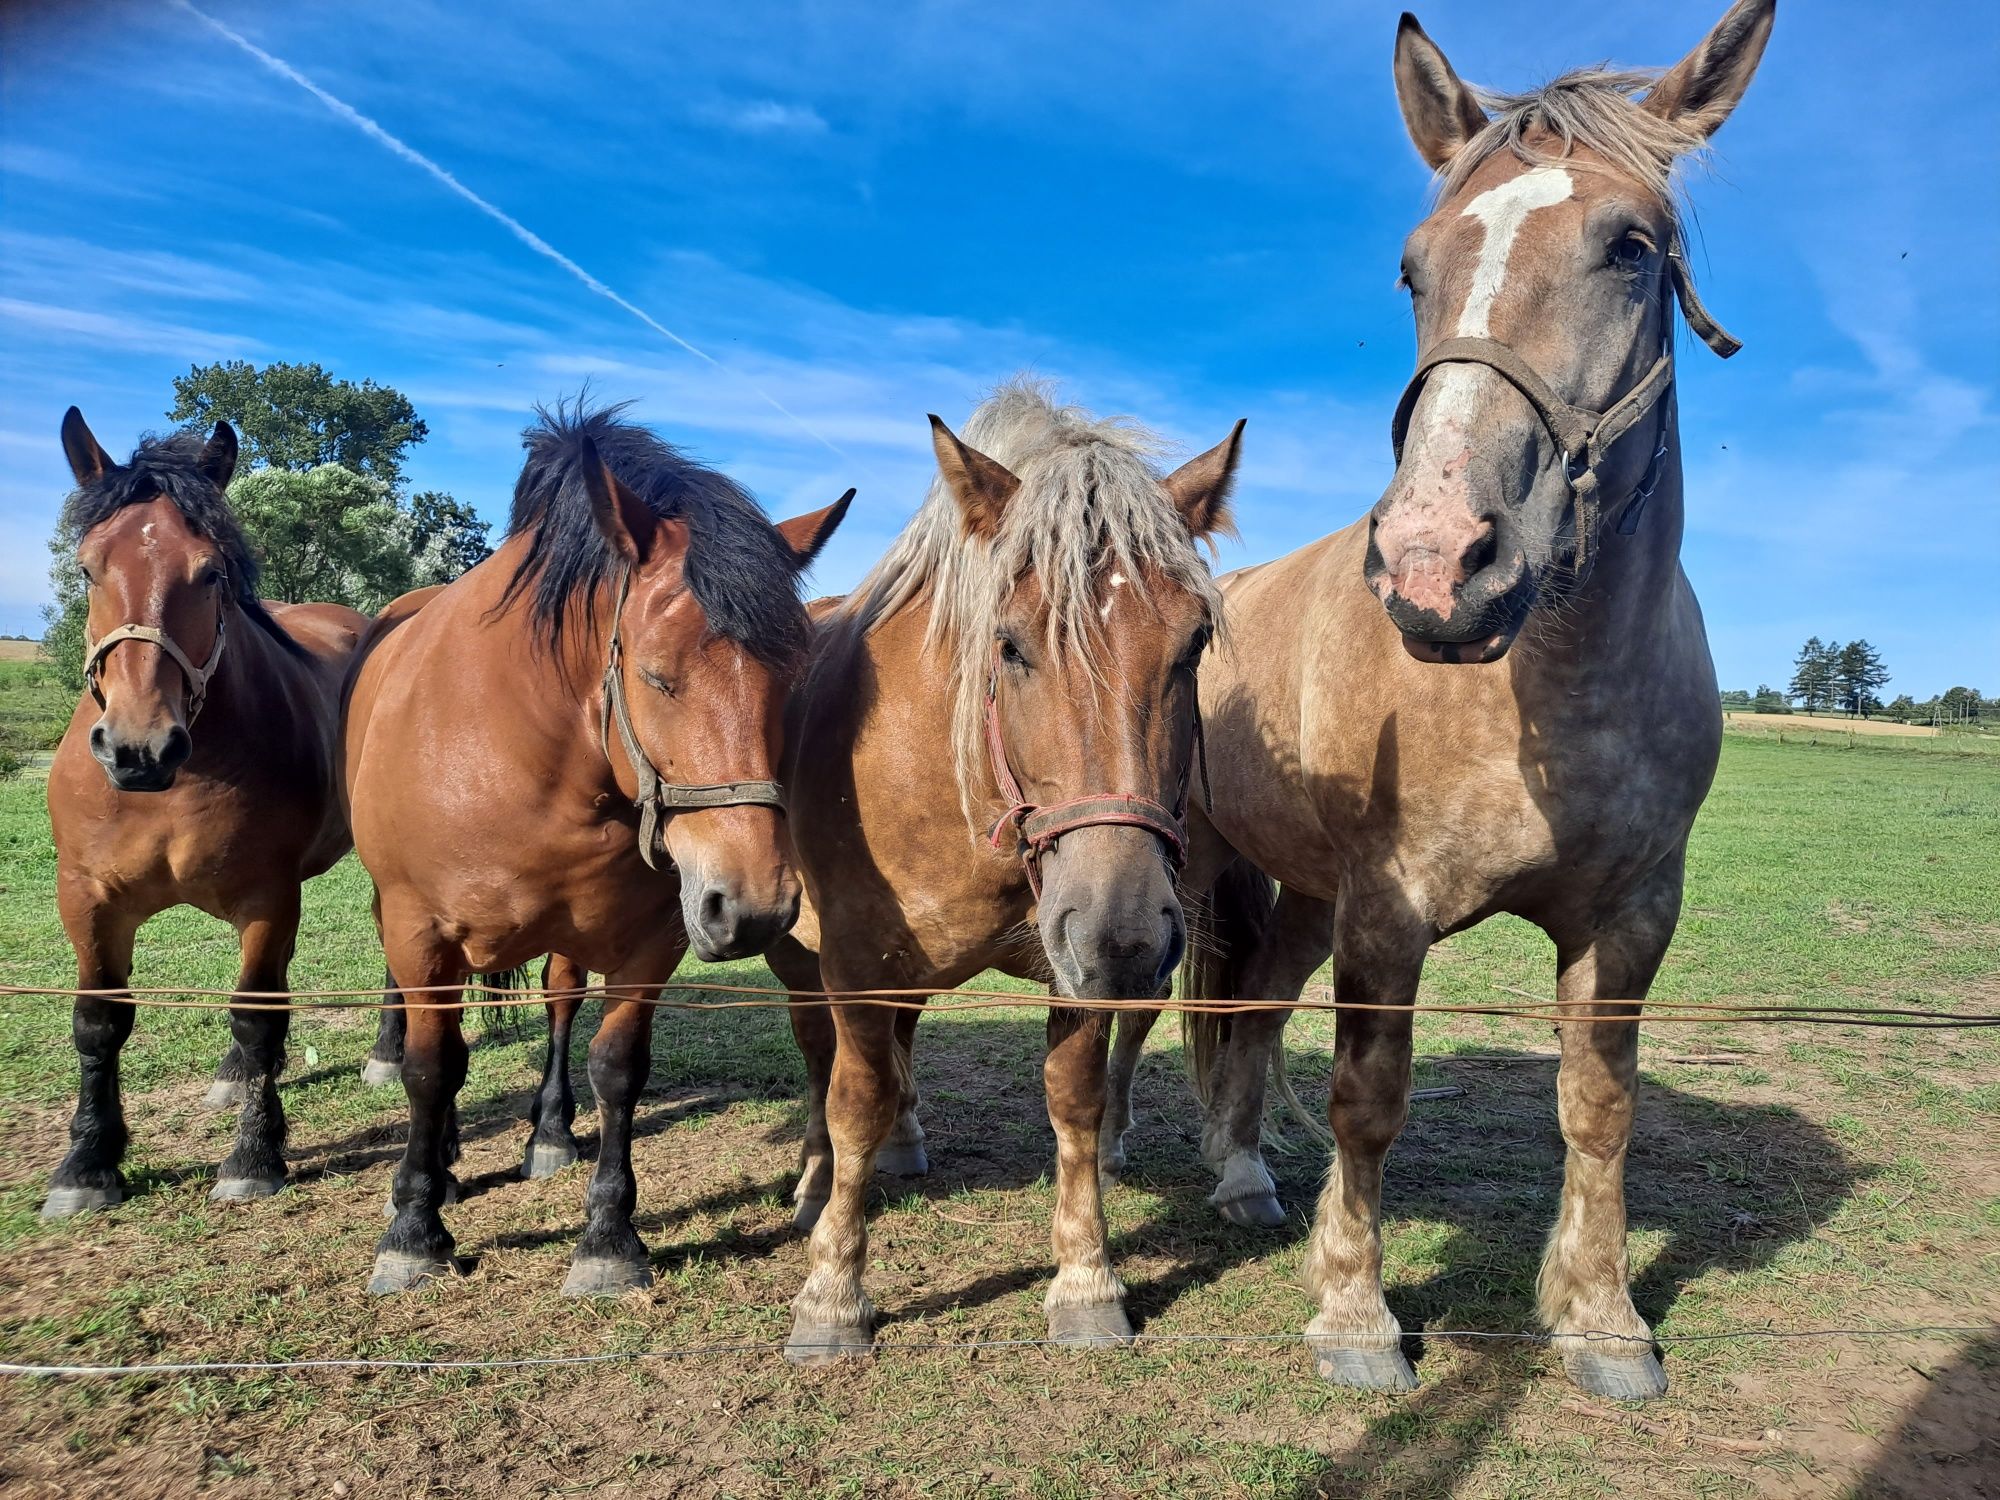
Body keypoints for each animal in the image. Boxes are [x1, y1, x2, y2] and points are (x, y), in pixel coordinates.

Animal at [42, 408, 368, 1224]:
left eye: (210, 571)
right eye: (88, 569)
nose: (139, 747)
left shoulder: (266, 897)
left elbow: (254, 1012)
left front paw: (254, 1155)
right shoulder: (87, 899)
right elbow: (98, 1022)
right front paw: (87, 1163)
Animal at [344, 406, 844, 1296]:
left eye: (792, 683)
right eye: (657, 676)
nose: (752, 907)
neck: (523, 752)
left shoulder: (650, 942)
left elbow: (617, 1067)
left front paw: (608, 1236)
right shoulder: (419, 930)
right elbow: (432, 1070)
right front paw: (412, 1228)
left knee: (557, 1004)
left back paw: (547, 1132)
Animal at [760, 384, 1240, 1360]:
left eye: (1193, 643)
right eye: (1011, 646)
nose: (1125, 932)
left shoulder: (1073, 969)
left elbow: (1074, 1103)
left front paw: (1087, 1279)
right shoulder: (852, 961)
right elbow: (853, 1096)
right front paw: (832, 1293)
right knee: (819, 1059)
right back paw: (815, 1183)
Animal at [1128, 2, 1784, 1408]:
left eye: (1630, 246)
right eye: (1412, 268)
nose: (1433, 563)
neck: (1548, 699)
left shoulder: (1630, 920)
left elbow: (1598, 1109)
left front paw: (1602, 1321)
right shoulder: (1387, 911)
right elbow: (1367, 1101)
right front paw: (1354, 1316)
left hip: (1297, 892)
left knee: (1253, 1007)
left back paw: (1245, 1177)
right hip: (1205, 868)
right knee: (1205, 1009)